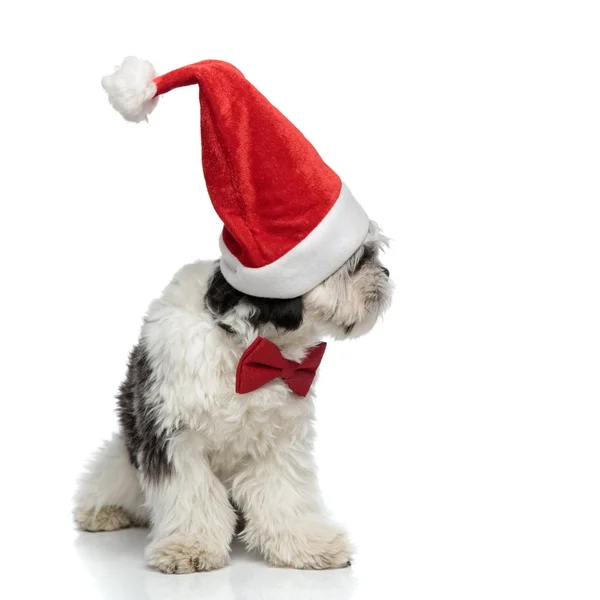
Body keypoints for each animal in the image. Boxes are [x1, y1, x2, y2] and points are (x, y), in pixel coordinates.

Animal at [74, 220, 394, 572]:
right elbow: (191, 492)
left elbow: (286, 493)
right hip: (123, 454)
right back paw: (104, 511)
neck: (251, 349)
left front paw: (306, 544)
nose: (387, 272)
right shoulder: (173, 435)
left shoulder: (281, 439)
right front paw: (190, 546)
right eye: (359, 259)